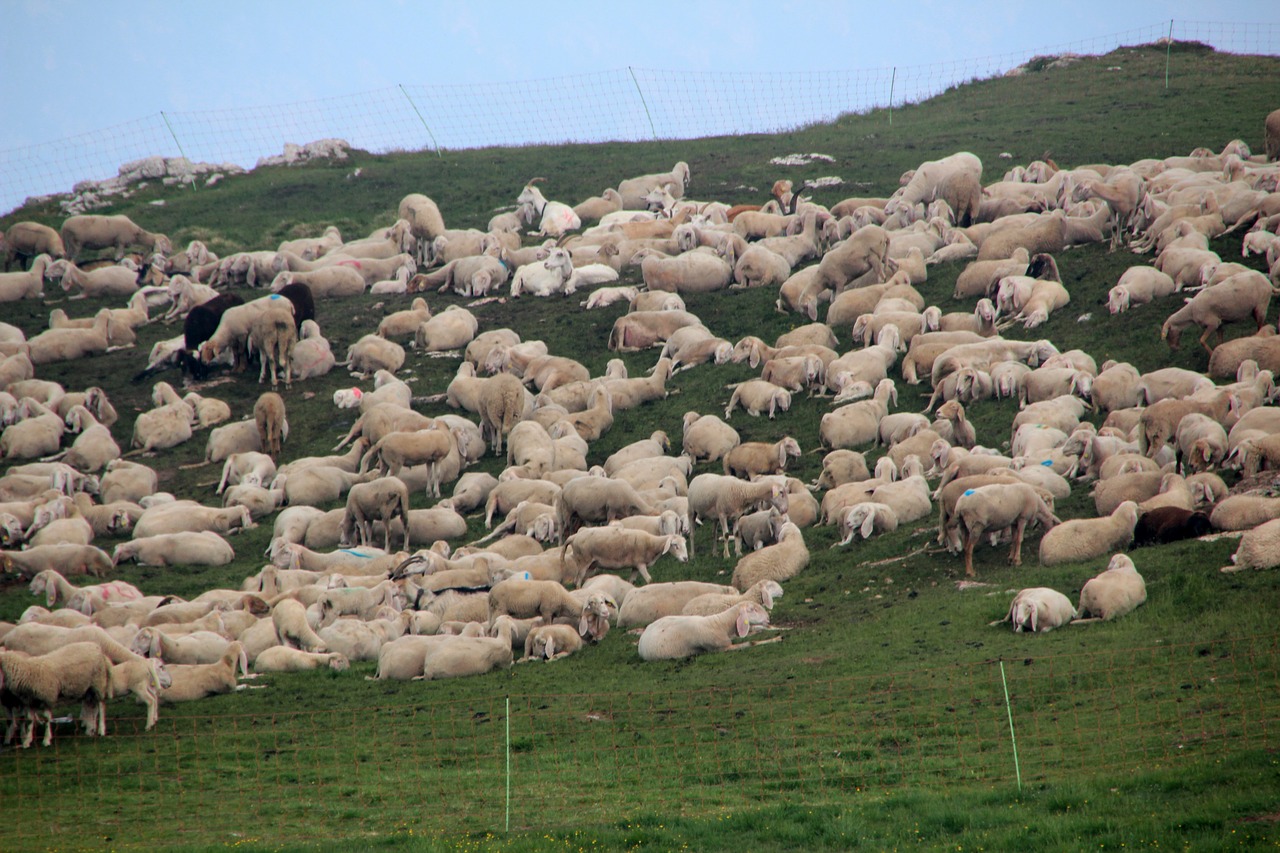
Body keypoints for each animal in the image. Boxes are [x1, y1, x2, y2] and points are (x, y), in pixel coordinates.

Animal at [637, 594, 773, 660]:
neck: (719, 624)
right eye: (752, 609)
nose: (768, 619)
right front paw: (775, 639)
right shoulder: (720, 648)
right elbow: (751, 643)